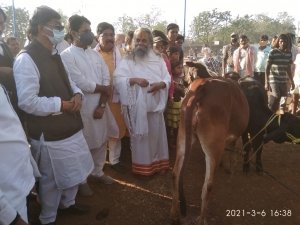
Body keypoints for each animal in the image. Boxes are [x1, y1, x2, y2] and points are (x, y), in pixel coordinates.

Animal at [170, 64, 250, 223]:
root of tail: (203, 86)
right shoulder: (233, 138)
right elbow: (232, 156)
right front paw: (230, 170)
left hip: (182, 137)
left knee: (176, 173)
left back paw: (175, 213)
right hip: (214, 147)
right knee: (208, 185)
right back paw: (202, 220)